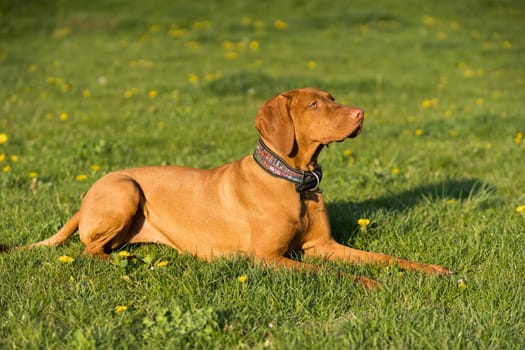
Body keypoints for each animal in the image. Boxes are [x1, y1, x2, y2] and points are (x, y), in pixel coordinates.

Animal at [4, 88, 448, 288]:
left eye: (332, 98)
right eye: (313, 105)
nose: (361, 114)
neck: (295, 182)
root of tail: (86, 197)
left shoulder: (325, 245)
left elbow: (384, 257)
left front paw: (429, 270)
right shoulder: (268, 258)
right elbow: (327, 271)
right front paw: (369, 283)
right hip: (125, 187)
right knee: (89, 250)